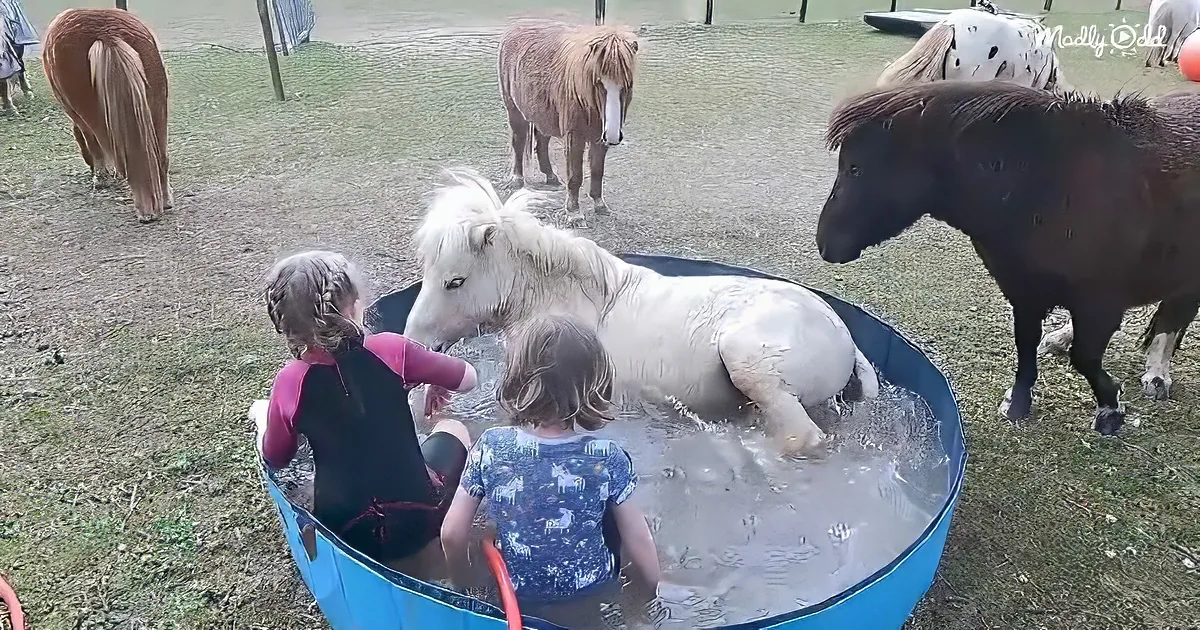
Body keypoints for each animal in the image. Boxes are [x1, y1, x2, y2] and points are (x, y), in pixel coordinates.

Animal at [42, 8, 172, 222]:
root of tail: (106, 33)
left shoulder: (80, 120)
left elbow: (93, 147)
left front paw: (101, 176)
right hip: (158, 106)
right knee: (160, 158)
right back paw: (165, 201)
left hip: (93, 116)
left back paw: (144, 209)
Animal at [404, 169, 880, 455]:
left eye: (455, 281)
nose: (415, 344)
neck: (570, 303)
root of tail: (844, 335)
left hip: (755, 369)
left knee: (801, 437)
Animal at [498, 18, 638, 228]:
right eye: (598, 82)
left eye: (628, 84)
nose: (613, 136)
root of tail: (515, 28)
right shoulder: (574, 137)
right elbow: (575, 176)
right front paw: (573, 213)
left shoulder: (599, 138)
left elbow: (597, 171)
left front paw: (599, 204)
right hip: (514, 111)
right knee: (518, 142)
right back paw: (517, 179)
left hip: (543, 115)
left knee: (541, 143)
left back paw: (551, 176)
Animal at [814, 80, 1200, 436]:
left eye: (856, 168)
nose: (825, 244)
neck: (1048, 187)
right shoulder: (1024, 295)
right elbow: (1026, 348)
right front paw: (1017, 403)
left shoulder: (1099, 304)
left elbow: (1087, 358)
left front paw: (1110, 410)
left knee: (1174, 315)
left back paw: (1157, 375)